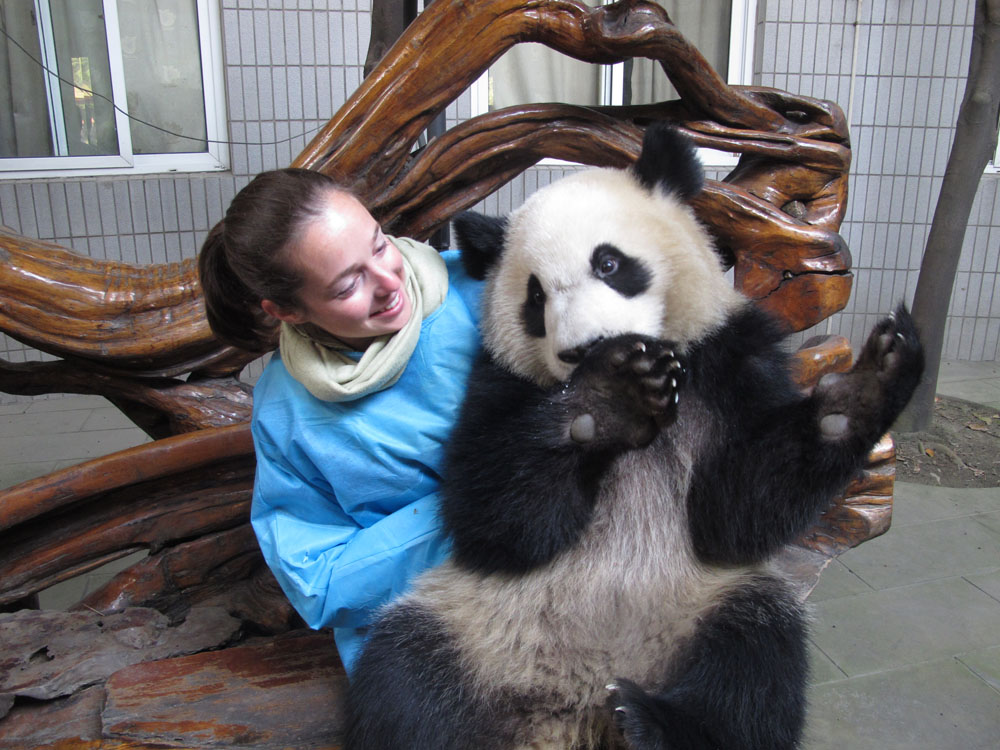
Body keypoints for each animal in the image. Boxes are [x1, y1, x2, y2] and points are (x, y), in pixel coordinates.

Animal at [344, 126, 920, 748]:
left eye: (610, 262)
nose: (586, 349)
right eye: (535, 298)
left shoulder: (730, 354)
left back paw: (651, 722)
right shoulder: (499, 381)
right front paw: (607, 397)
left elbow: (738, 513)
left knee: (757, 659)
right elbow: (496, 521)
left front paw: (860, 392)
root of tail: (575, 710)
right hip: (471, 620)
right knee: (402, 680)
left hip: (701, 602)